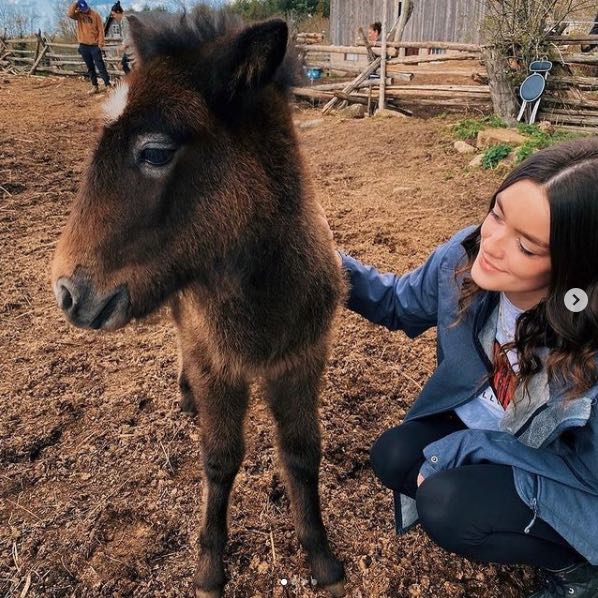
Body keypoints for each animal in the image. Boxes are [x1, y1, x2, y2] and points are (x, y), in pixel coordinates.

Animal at [54, 5, 350, 598]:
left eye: (155, 152)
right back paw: (185, 392)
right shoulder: (218, 367)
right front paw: (210, 565)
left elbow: (303, 454)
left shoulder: (302, 362)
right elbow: (220, 460)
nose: (68, 293)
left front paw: (321, 556)